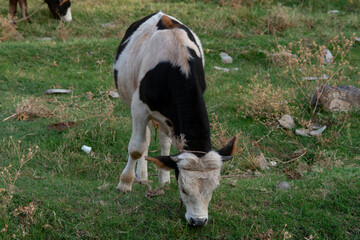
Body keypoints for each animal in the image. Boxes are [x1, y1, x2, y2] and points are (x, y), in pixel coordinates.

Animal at [112, 12, 236, 227]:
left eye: (214, 189)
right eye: (184, 188)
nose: (198, 222)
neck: (177, 63)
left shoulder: (173, 117)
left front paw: (164, 176)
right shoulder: (139, 108)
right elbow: (136, 148)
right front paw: (125, 183)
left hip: (166, 119)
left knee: (163, 140)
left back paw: (162, 178)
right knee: (144, 138)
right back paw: (141, 176)